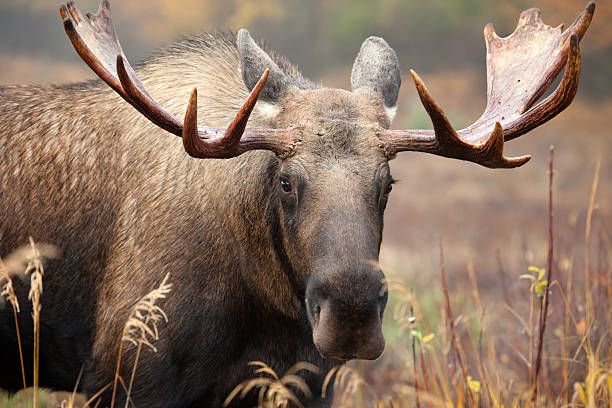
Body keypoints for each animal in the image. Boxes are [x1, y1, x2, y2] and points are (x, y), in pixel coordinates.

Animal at [0, 0, 592, 406]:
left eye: (387, 184)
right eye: (285, 180)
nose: (352, 311)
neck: (263, 303)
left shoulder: (305, 384)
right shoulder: (126, 373)